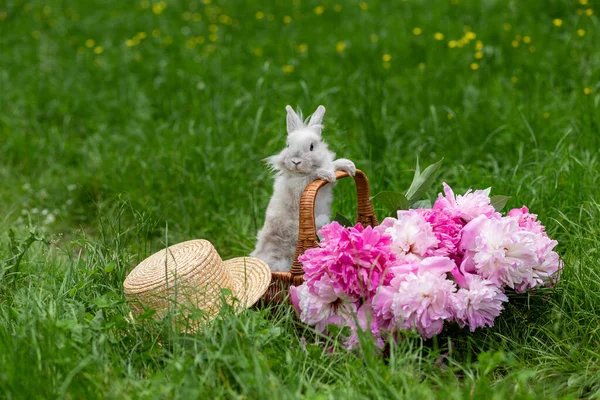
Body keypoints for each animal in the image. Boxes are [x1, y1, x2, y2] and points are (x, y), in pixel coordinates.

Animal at [250, 104, 354, 272]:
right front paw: (327, 174)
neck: (300, 172)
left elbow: (332, 166)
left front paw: (348, 165)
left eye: (312, 146)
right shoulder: (299, 185)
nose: (295, 161)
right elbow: (313, 175)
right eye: (288, 145)